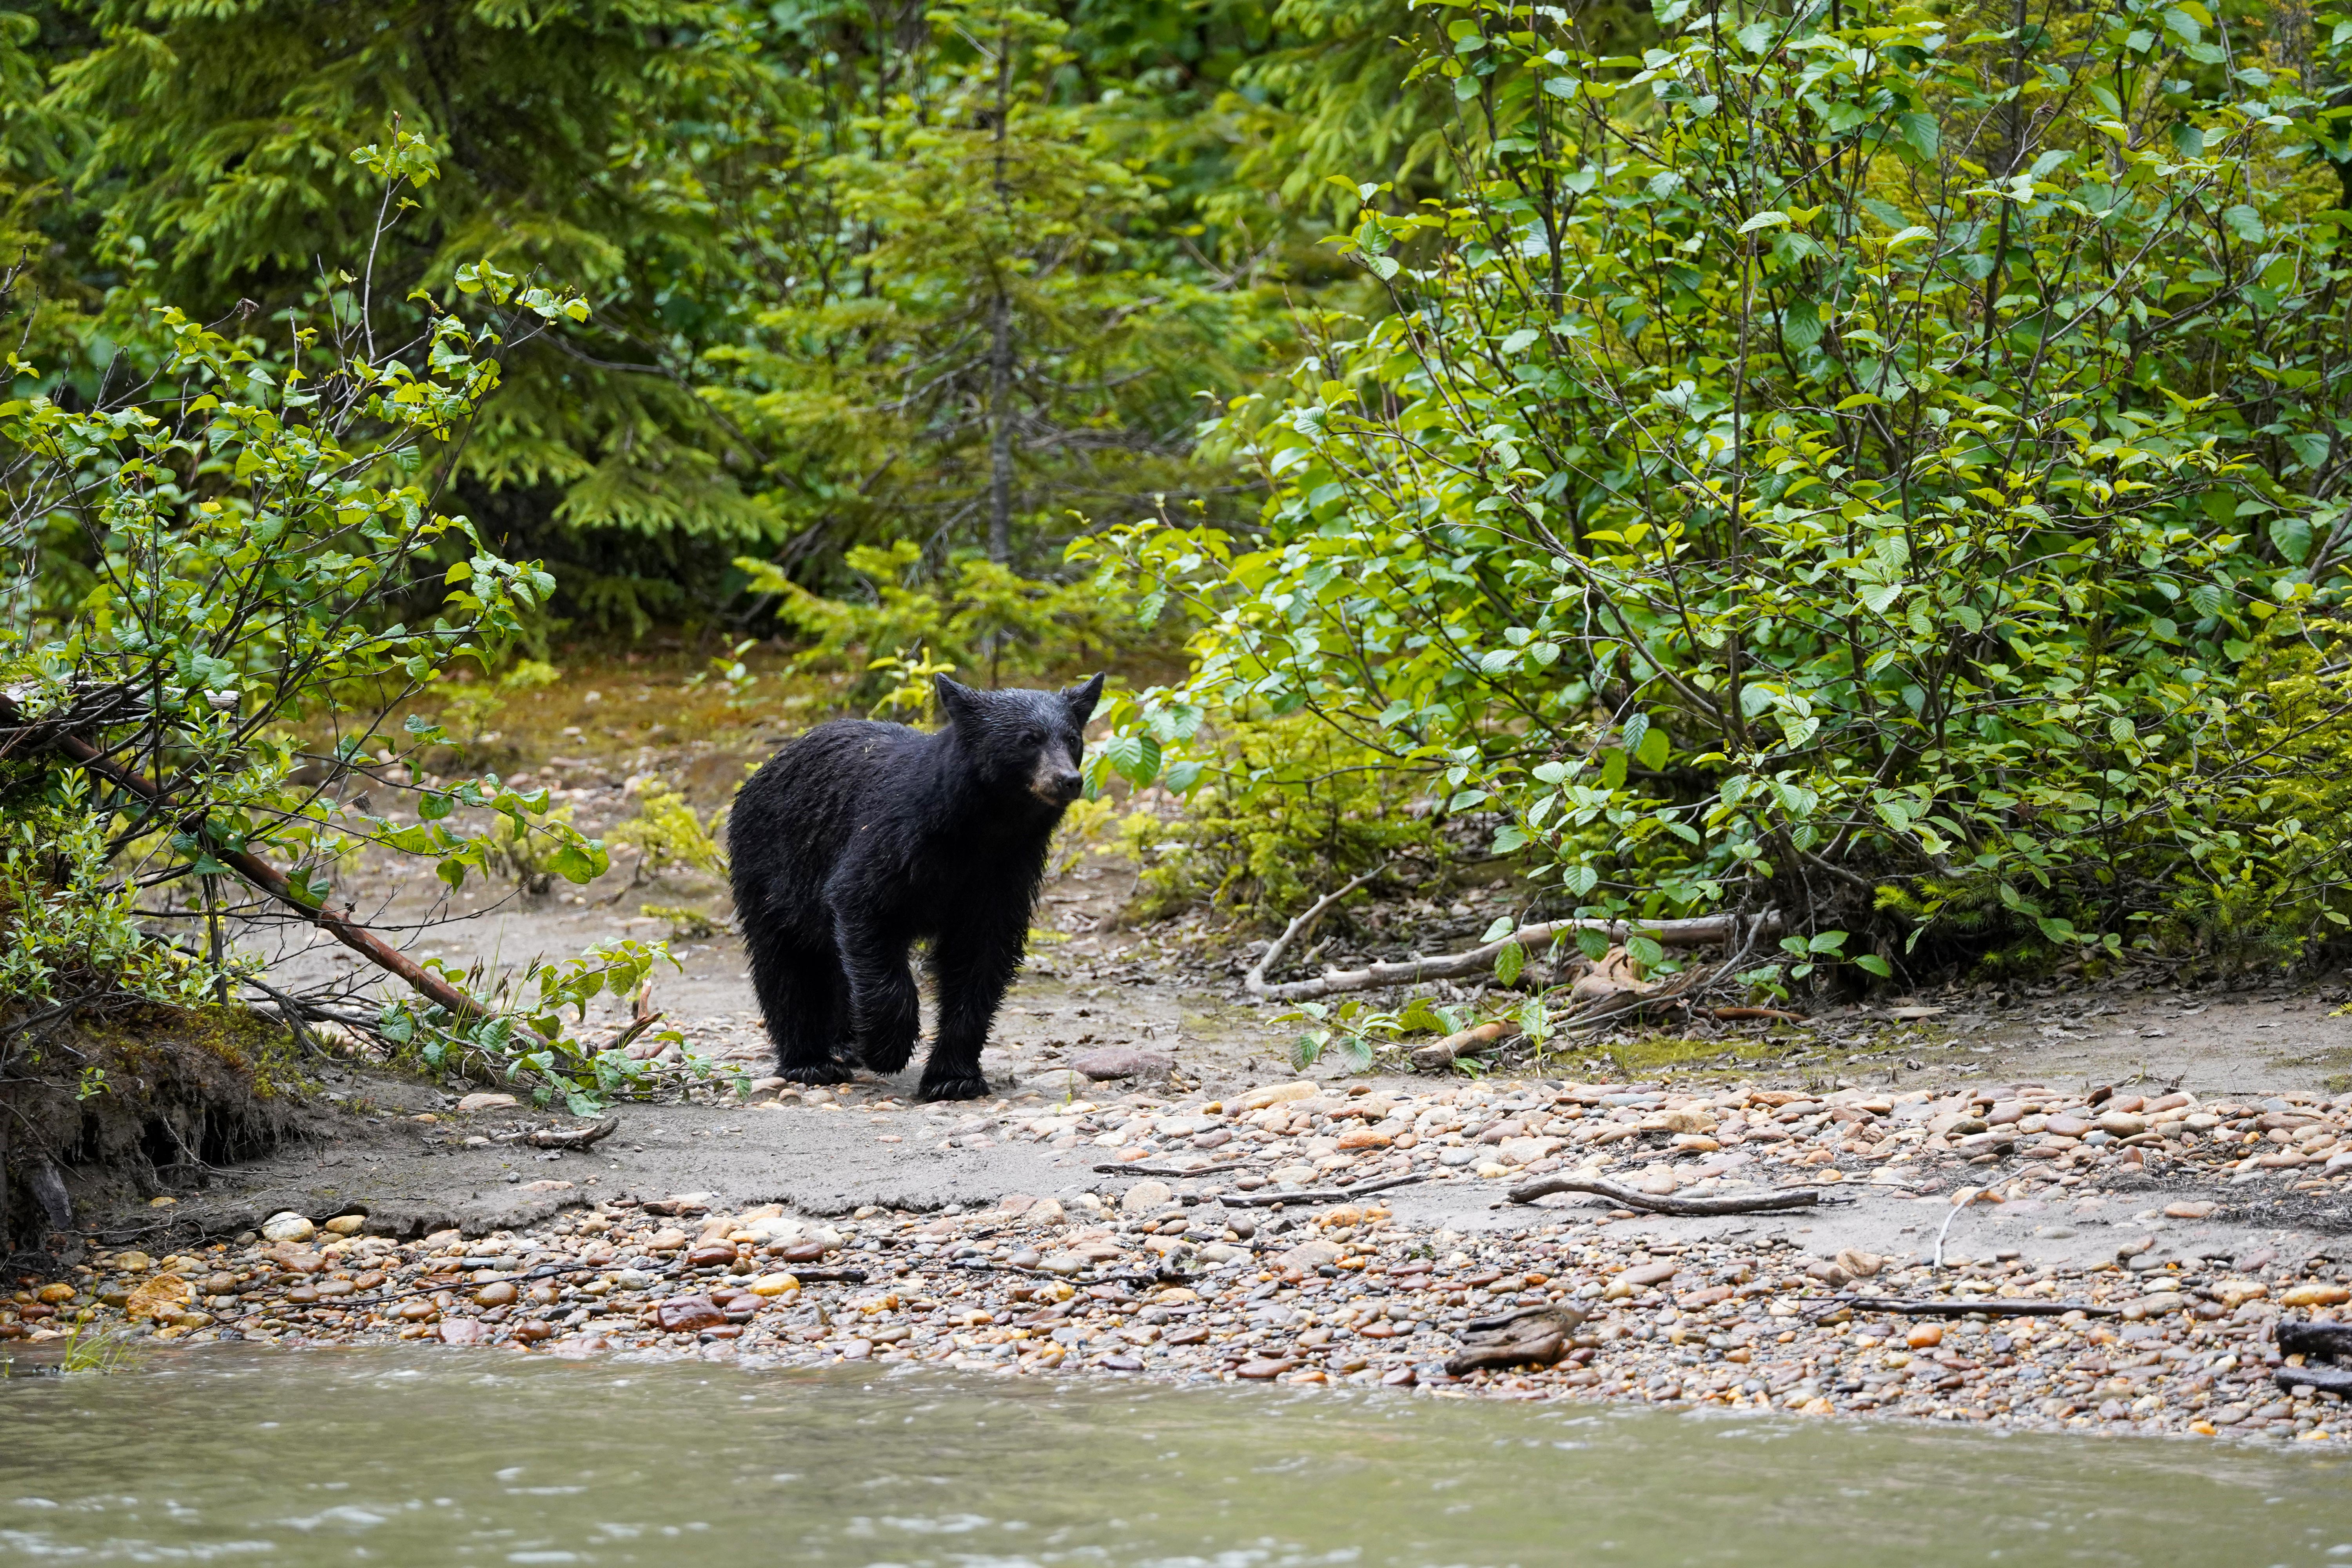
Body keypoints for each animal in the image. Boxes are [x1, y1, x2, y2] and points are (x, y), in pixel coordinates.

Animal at [729, 677, 1105, 1105]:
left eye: (1073, 739)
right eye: (1029, 739)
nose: (1069, 780)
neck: (981, 830)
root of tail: (762, 770)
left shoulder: (1003, 874)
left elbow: (980, 957)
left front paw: (954, 1078)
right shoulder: (893, 842)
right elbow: (862, 907)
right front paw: (886, 1047)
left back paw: (842, 1043)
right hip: (772, 865)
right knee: (786, 961)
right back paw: (810, 1061)